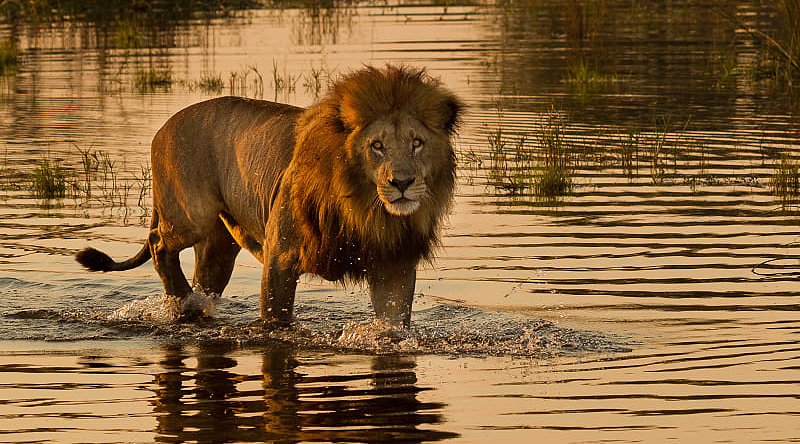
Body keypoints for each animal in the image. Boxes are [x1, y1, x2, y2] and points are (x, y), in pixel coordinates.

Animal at [76, 65, 463, 327]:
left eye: (417, 143)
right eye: (377, 146)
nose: (403, 182)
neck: (364, 209)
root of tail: (163, 126)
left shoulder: (393, 264)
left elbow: (392, 325)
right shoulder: (281, 255)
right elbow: (277, 320)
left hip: (218, 247)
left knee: (204, 279)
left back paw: (194, 304)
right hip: (191, 216)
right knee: (158, 242)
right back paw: (182, 300)